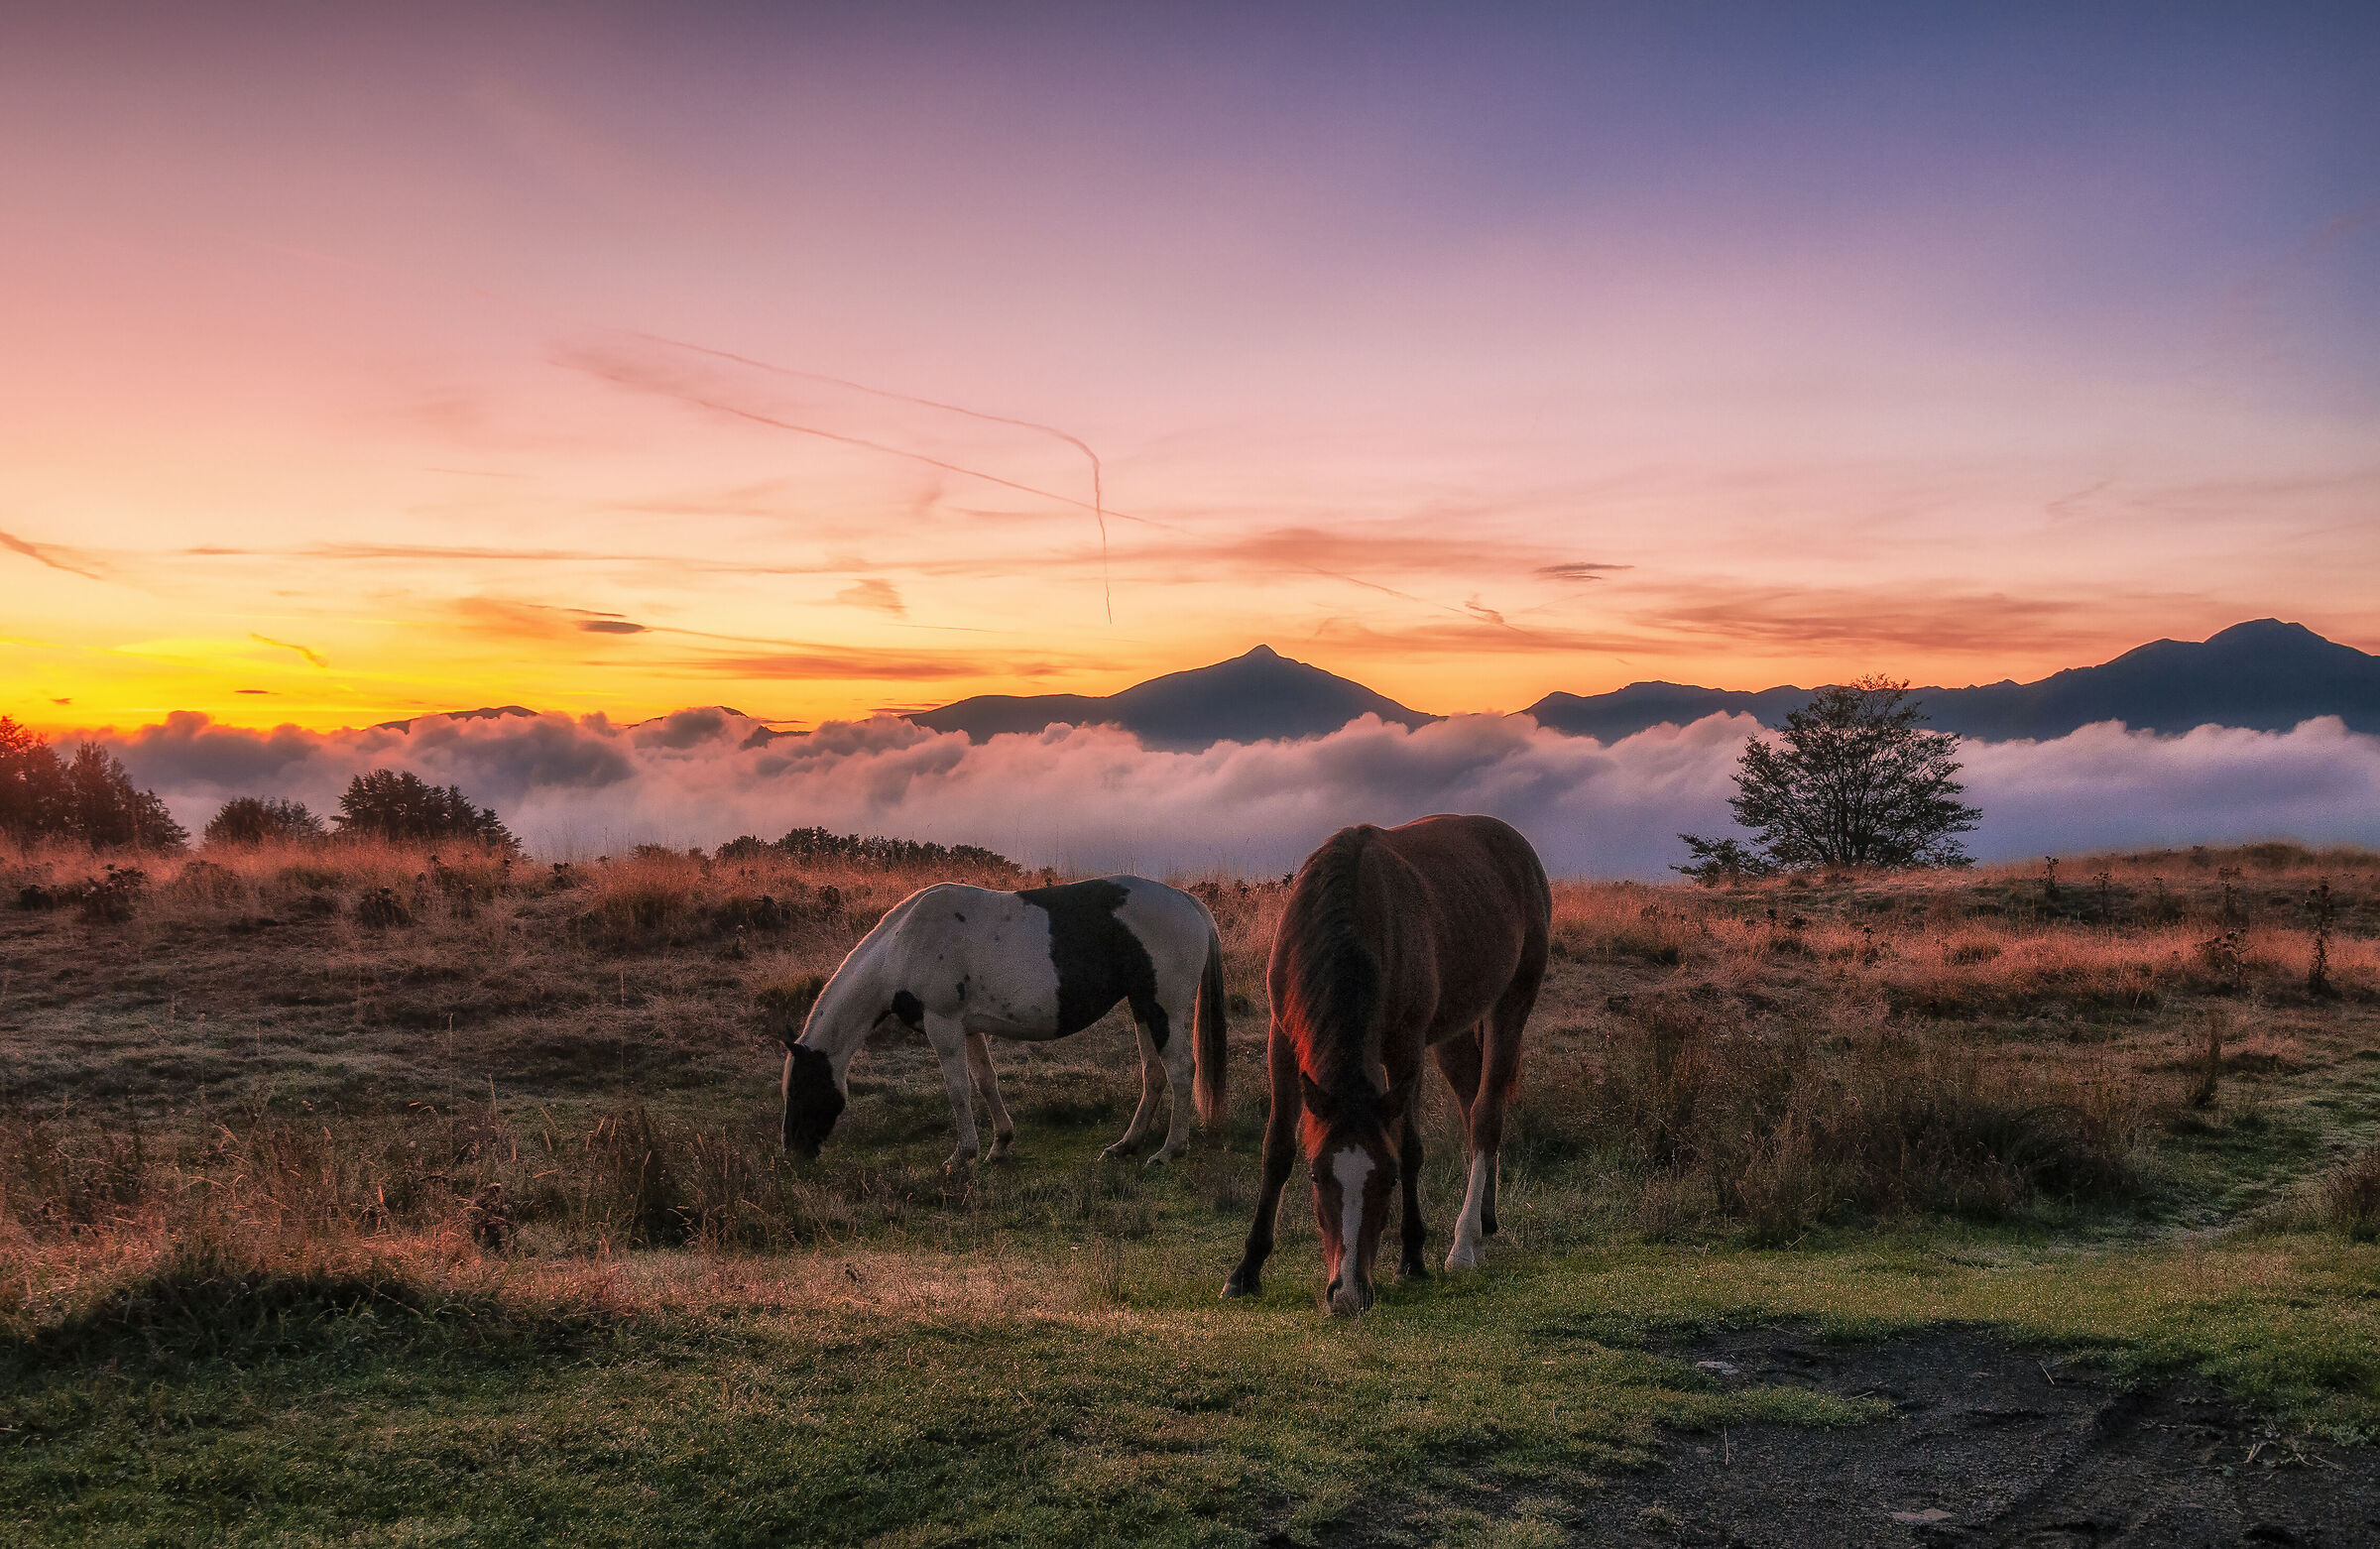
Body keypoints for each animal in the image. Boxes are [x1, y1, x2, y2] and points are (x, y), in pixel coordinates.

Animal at [771, 875, 1228, 1172]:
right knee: (1154, 1075)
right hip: (1142, 1007)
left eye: (801, 1089)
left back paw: (1169, 1151)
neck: (901, 947)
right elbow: (985, 1082)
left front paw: (962, 1155)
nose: (793, 1153)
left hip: (1163, 1008)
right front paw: (999, 1145)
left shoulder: (943, 1025)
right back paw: (1126, 1146)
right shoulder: (968, 1027)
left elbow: (957, 1090)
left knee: (1181, 1072)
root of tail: (1187, 902)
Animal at [1222, 814, 1549, 1316]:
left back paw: (1465, 1242)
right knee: (1470, 1100)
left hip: (1511, 1002)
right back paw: (1485, 1218)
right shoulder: (1283, 1040)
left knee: (1485, 1115)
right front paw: (1247, 1270)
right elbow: (1276, 1149)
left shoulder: (1405, 1046)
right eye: (1316, 1175)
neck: (1349, 914)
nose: (1347, 1294)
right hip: (1453, 1033)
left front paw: (1413, 1256)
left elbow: (1410, 1147)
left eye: (1389, 1180)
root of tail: (1518, 847)